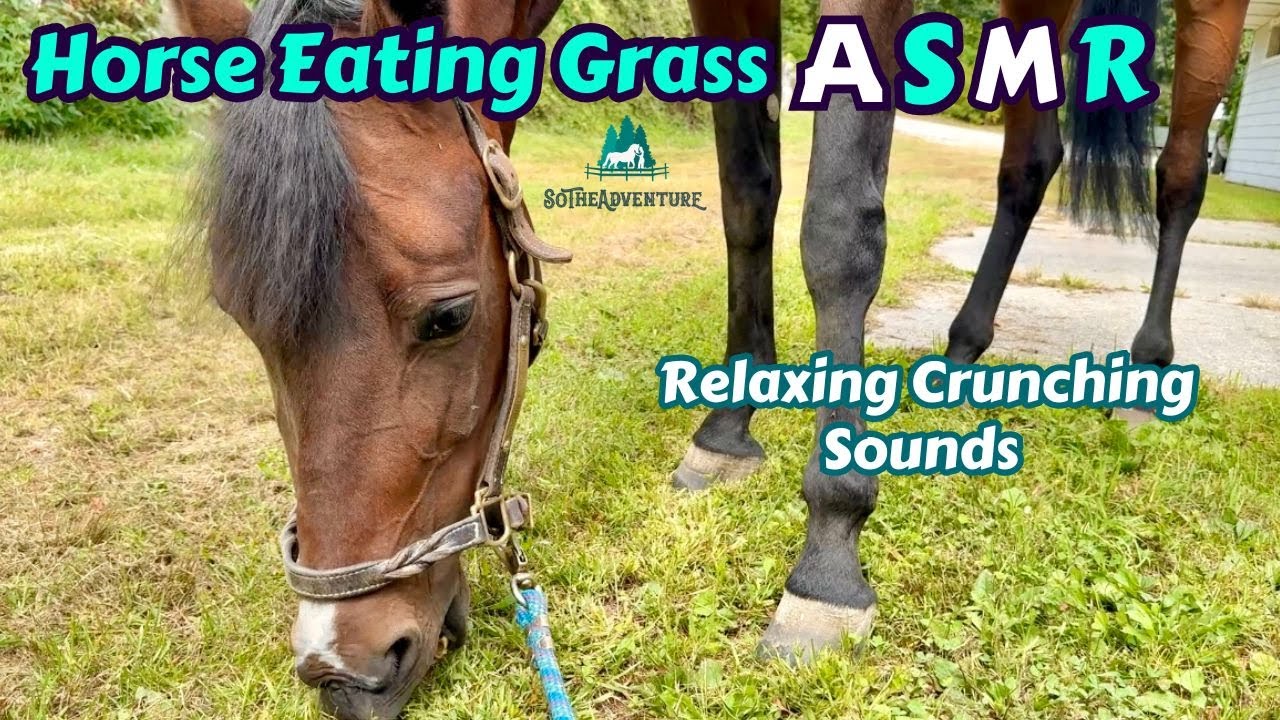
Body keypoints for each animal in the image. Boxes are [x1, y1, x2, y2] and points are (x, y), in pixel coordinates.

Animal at [166, 0, 1248, 717]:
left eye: (448, 317)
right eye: (242, 321)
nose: (341, 667)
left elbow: (836, 230)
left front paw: (826, 560)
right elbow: (746, 188)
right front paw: (728, 426)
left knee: (1178, 170)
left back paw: (1146, 367)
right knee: (1030, 162)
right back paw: (963, 351)